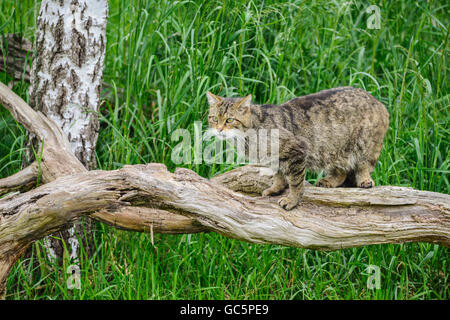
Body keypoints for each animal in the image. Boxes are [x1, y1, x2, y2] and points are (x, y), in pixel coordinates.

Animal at [207, 87, 390, 211]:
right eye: (214, 118)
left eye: (230, 120)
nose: (219, 129)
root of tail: (378, 101)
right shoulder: (275, 159)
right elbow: (278, 175)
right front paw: (275, 189)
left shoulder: (297, 151)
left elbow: (295, 183)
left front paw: (292, 201)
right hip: (335, 150)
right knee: (342, 171)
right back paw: (330, 180)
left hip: (365, 145)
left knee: (363, 165)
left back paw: (364, 180)